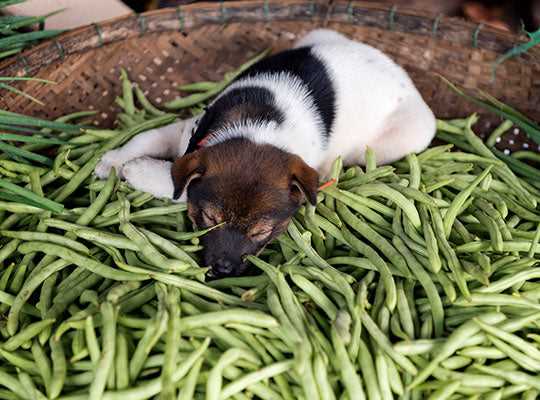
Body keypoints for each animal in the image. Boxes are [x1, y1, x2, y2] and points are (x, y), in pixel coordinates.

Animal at [95, 28, 436, 278]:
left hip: (409, 136)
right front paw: (114, 160)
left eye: (262, 232)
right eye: (210, 219)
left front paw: (136, 170)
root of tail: (401, 74)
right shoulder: (188, 131)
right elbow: (145, 137)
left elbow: (175, 186)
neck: (260, 128)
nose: (223, 270)